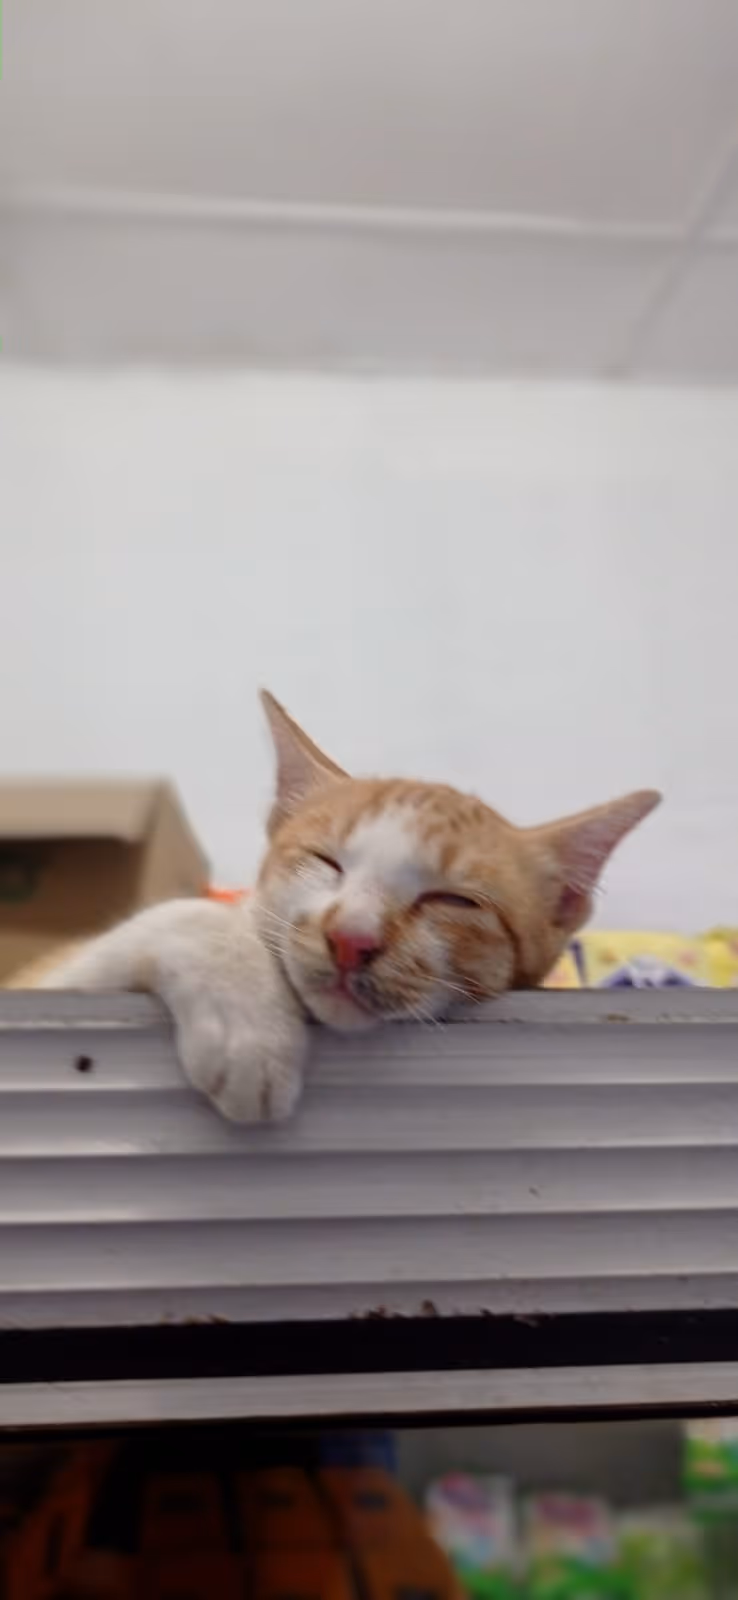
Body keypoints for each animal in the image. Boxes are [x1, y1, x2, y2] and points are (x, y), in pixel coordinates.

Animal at [26, 692, 660, 1124]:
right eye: (324, 860)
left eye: (455, 900)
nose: (351, 939)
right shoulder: (49, 981)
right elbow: (187, 917)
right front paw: (250, 1030)